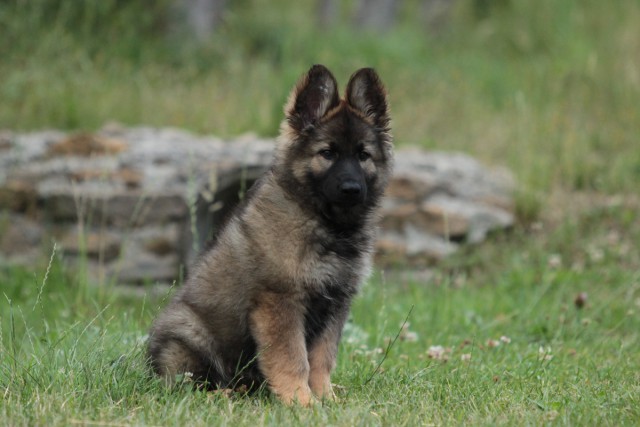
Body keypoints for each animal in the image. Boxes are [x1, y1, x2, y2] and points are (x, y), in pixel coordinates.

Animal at [148, 65, 392, 406]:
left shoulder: (335, 305)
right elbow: (293, 358)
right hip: (189, 333)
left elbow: (322, 358)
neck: (324, 222)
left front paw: (326, 398)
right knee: (187, 382)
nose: (352, 189)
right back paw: (222, 393)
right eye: (327, 153)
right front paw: (301, 402)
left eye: (363, 155)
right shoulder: (280, 301)